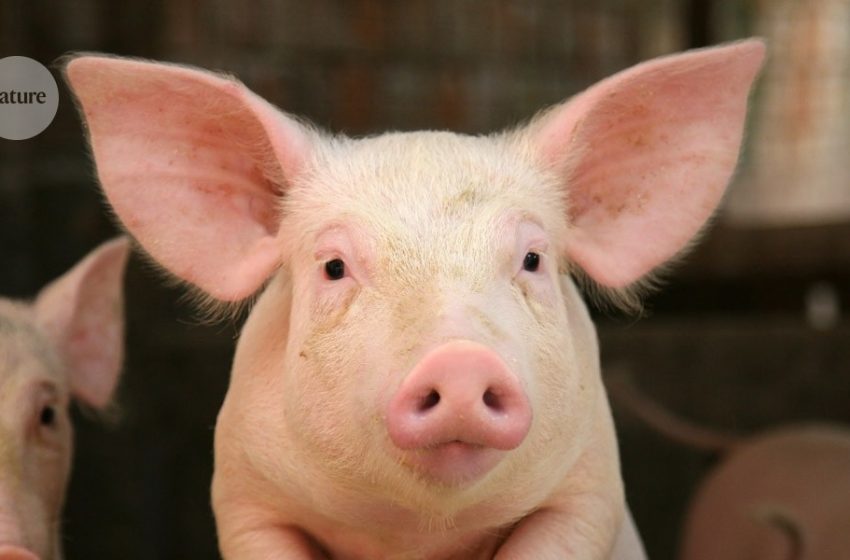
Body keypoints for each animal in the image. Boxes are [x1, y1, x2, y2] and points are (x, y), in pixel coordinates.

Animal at [64, 40, 764, 559]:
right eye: (334, 267)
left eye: (532, 260)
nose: (459, 361)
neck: (417, 534)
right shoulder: (244, 495)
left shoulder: (588, 487)